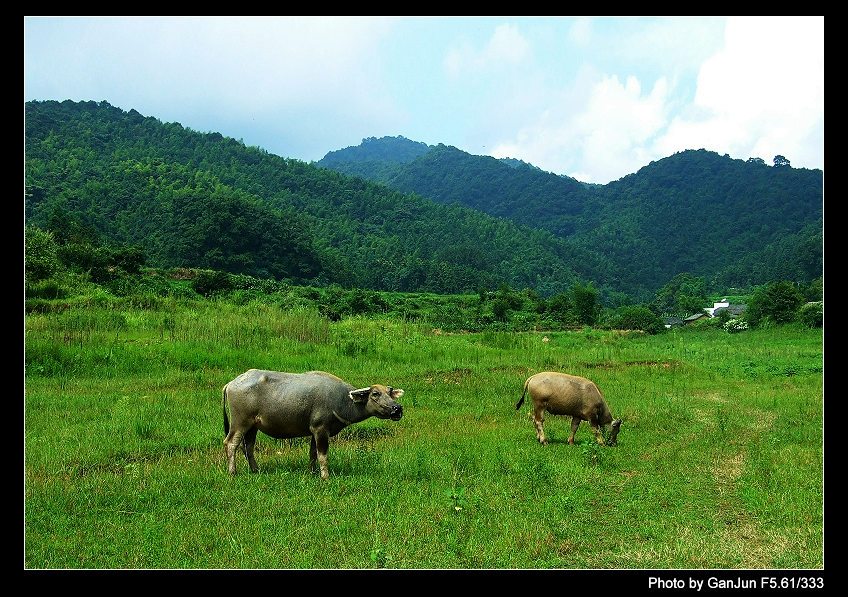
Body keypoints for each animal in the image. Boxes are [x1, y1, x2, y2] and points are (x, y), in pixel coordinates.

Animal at [220, 368, 402, 480]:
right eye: (375, 394)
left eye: (390, 393)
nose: (397, 409)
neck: (342, 401)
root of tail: (230, 384)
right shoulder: (321, 430)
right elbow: (322, 455)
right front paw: (325, 476)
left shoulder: (314, 431)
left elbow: (313, 454)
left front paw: (312, 472)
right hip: (240, 422)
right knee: (231, 443)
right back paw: (233, 472)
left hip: (253, 426)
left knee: (248, 447)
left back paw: (255, 470)